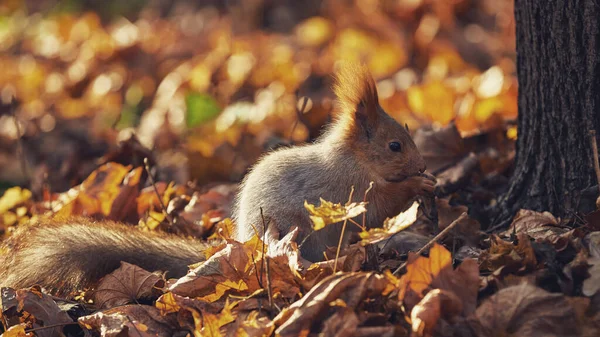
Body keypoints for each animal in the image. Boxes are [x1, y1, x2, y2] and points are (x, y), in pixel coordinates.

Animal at [0, 62, 432, 294]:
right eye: (395, 145)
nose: (422, 166)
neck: (354, 158)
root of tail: (240, 242)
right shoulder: (350, 189)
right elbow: (378, 206)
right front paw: (418, 187)